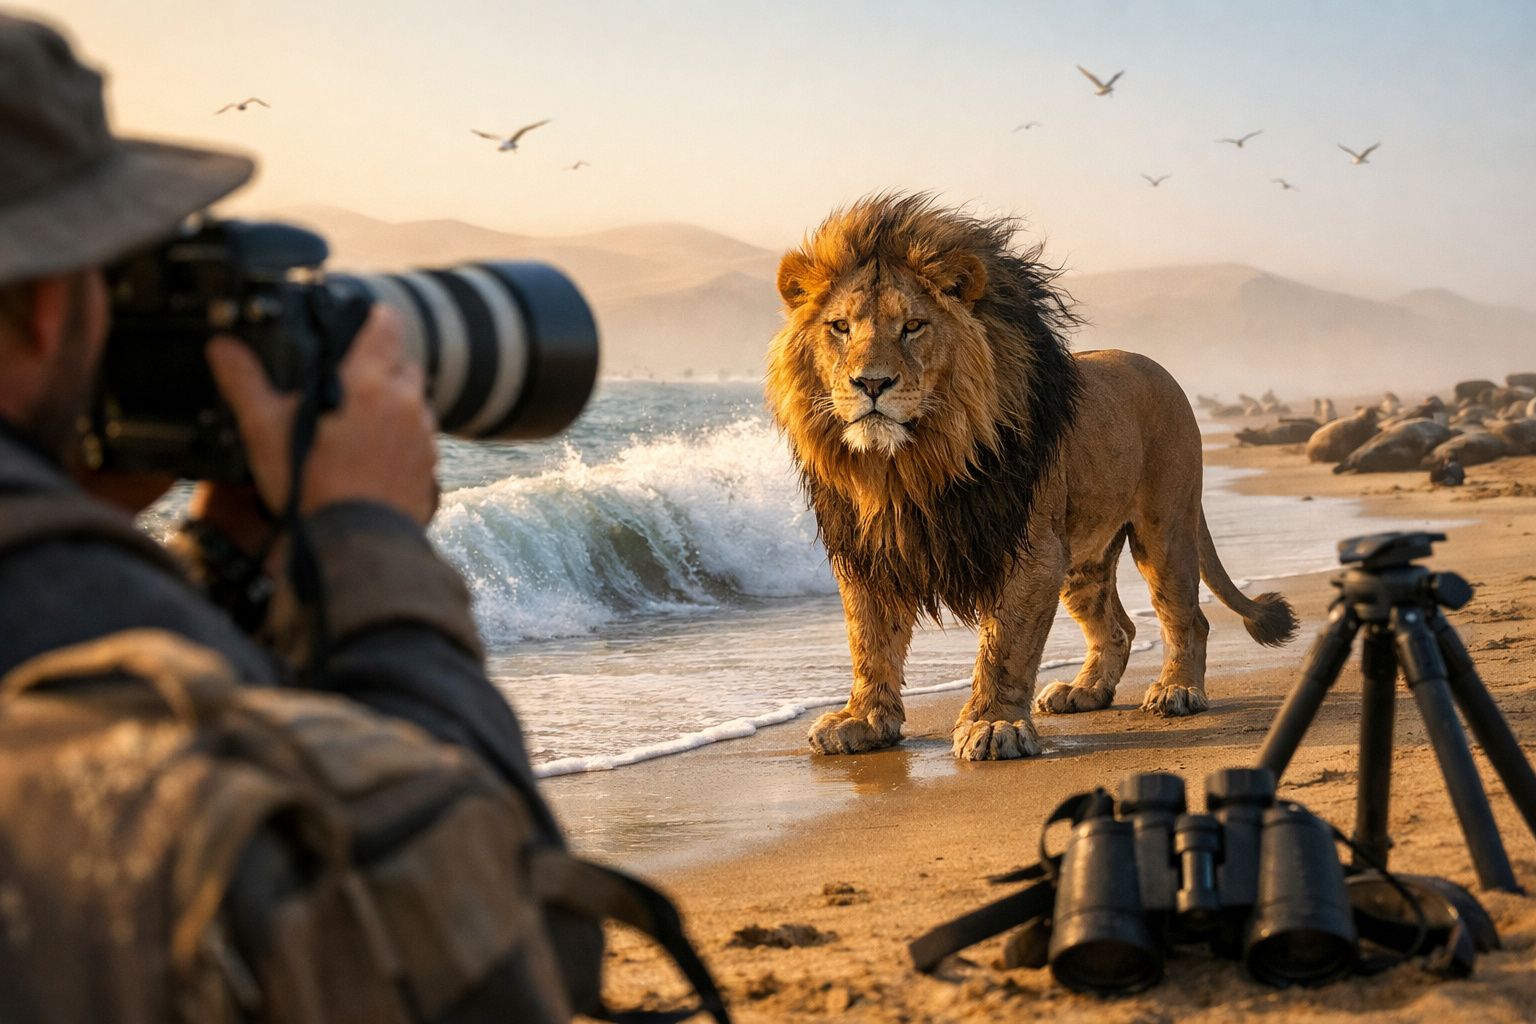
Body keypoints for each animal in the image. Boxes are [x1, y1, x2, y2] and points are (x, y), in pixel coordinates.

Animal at [765, 193, 1298, 761]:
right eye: (840, 327)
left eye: (912, 326)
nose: (871, 383)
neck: (908, 467)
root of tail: (1161, 370)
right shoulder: (871, 552)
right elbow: (869, 642)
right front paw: (863, 720)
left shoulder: (1032, 551)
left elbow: (1006, 646)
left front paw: (994, 724)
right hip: (1083, 559)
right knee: (1119, 628)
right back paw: (1084, 691)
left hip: (1164, 529)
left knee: (1186, 617)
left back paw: (1177, 691)